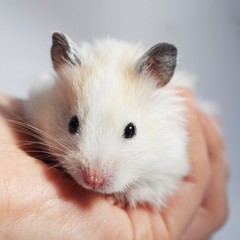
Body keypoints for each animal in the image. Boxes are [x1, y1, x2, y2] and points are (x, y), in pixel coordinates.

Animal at [24, 31, 193, 208]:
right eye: (72, 124)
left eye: (131, 130)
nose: (93, 181)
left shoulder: (166, 173)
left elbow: (140, 190)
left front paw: (115, 199)